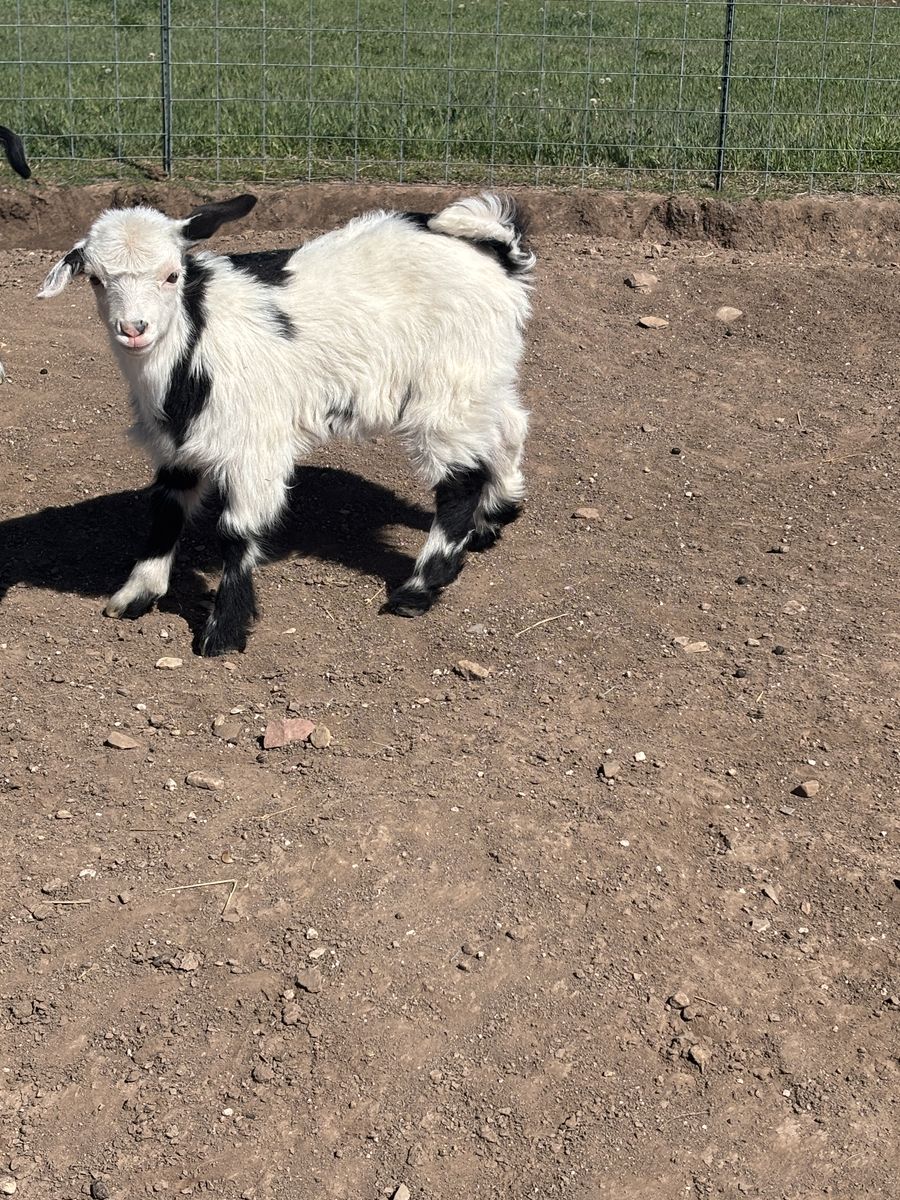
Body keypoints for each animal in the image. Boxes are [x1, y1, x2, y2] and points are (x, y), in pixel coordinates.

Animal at [37, 192, 535, 656]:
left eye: (172, 275)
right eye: (96, 280)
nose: (133, 329)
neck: (196, 343)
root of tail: (494, 249)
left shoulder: (253, 443)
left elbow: (235, 532)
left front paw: (223, 632)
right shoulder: (178, 442)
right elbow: (166, 507)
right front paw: (137, 593)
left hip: (446, 384)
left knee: (460, 480)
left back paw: (420, 588)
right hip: (483, 374)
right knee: (510, 425)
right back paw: (493, 518)